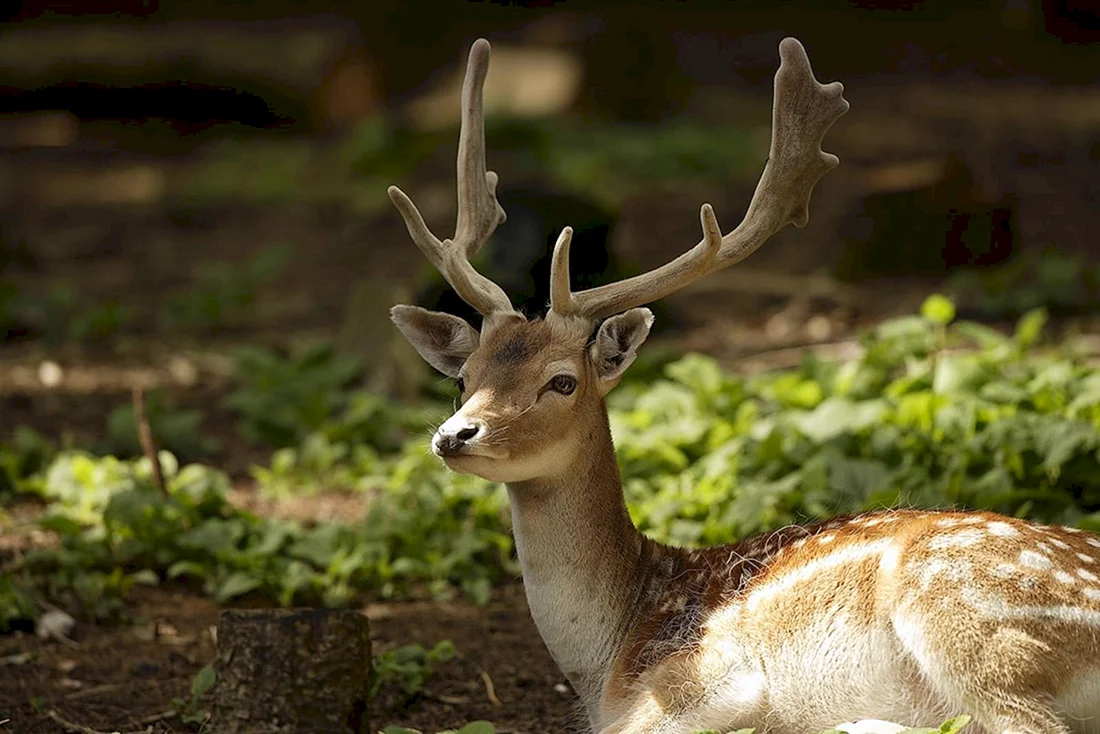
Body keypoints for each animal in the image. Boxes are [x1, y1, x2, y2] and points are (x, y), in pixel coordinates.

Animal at [387, 37, 1100, 734]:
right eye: (463, 379)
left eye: (561, 381)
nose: (455, 435)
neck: (608, 657)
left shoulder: (707, 680)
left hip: (962, 620)